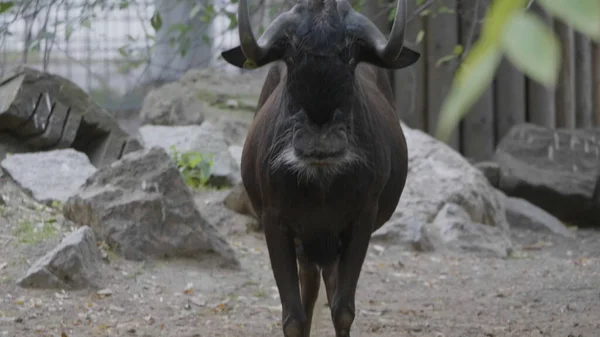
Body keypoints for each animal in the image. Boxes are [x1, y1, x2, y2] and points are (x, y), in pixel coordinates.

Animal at [221, 0, 422, 334]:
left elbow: (342, 309)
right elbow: (293, 315)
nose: (319, 141)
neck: (321, 186)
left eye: (351, 56)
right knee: (311, 288)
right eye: (290, 55)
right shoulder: (276, 223)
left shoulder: (360, 221)